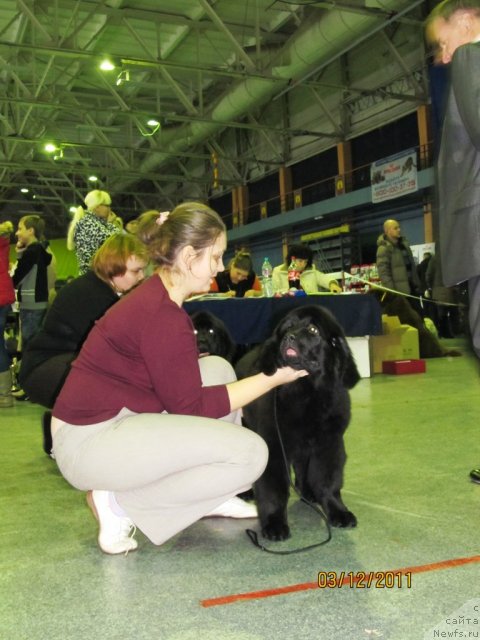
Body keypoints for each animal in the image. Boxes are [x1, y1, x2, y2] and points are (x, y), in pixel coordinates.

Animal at [236, 304, 360, 540]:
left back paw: (308, 492)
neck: (307, 392)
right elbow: (273, 489)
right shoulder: (274, 445)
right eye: (288, 327)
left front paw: (338, 512)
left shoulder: (328, 444)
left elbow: (328, 481)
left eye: (312, 330)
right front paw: (274, 524)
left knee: (303, 467)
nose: (289, 337)